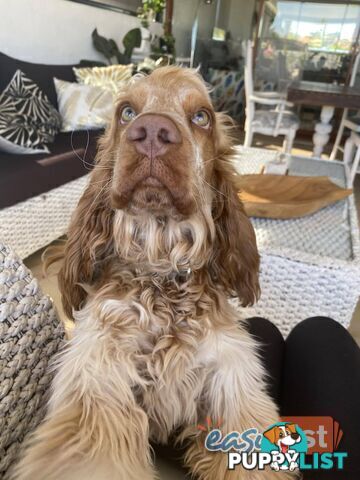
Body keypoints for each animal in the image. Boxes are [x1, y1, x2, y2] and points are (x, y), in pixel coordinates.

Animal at [13, 68, 296, 480]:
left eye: (202, 117)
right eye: (127, 112)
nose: (151, 132)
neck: (162, 274)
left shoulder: (231, 383)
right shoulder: (98, 385)